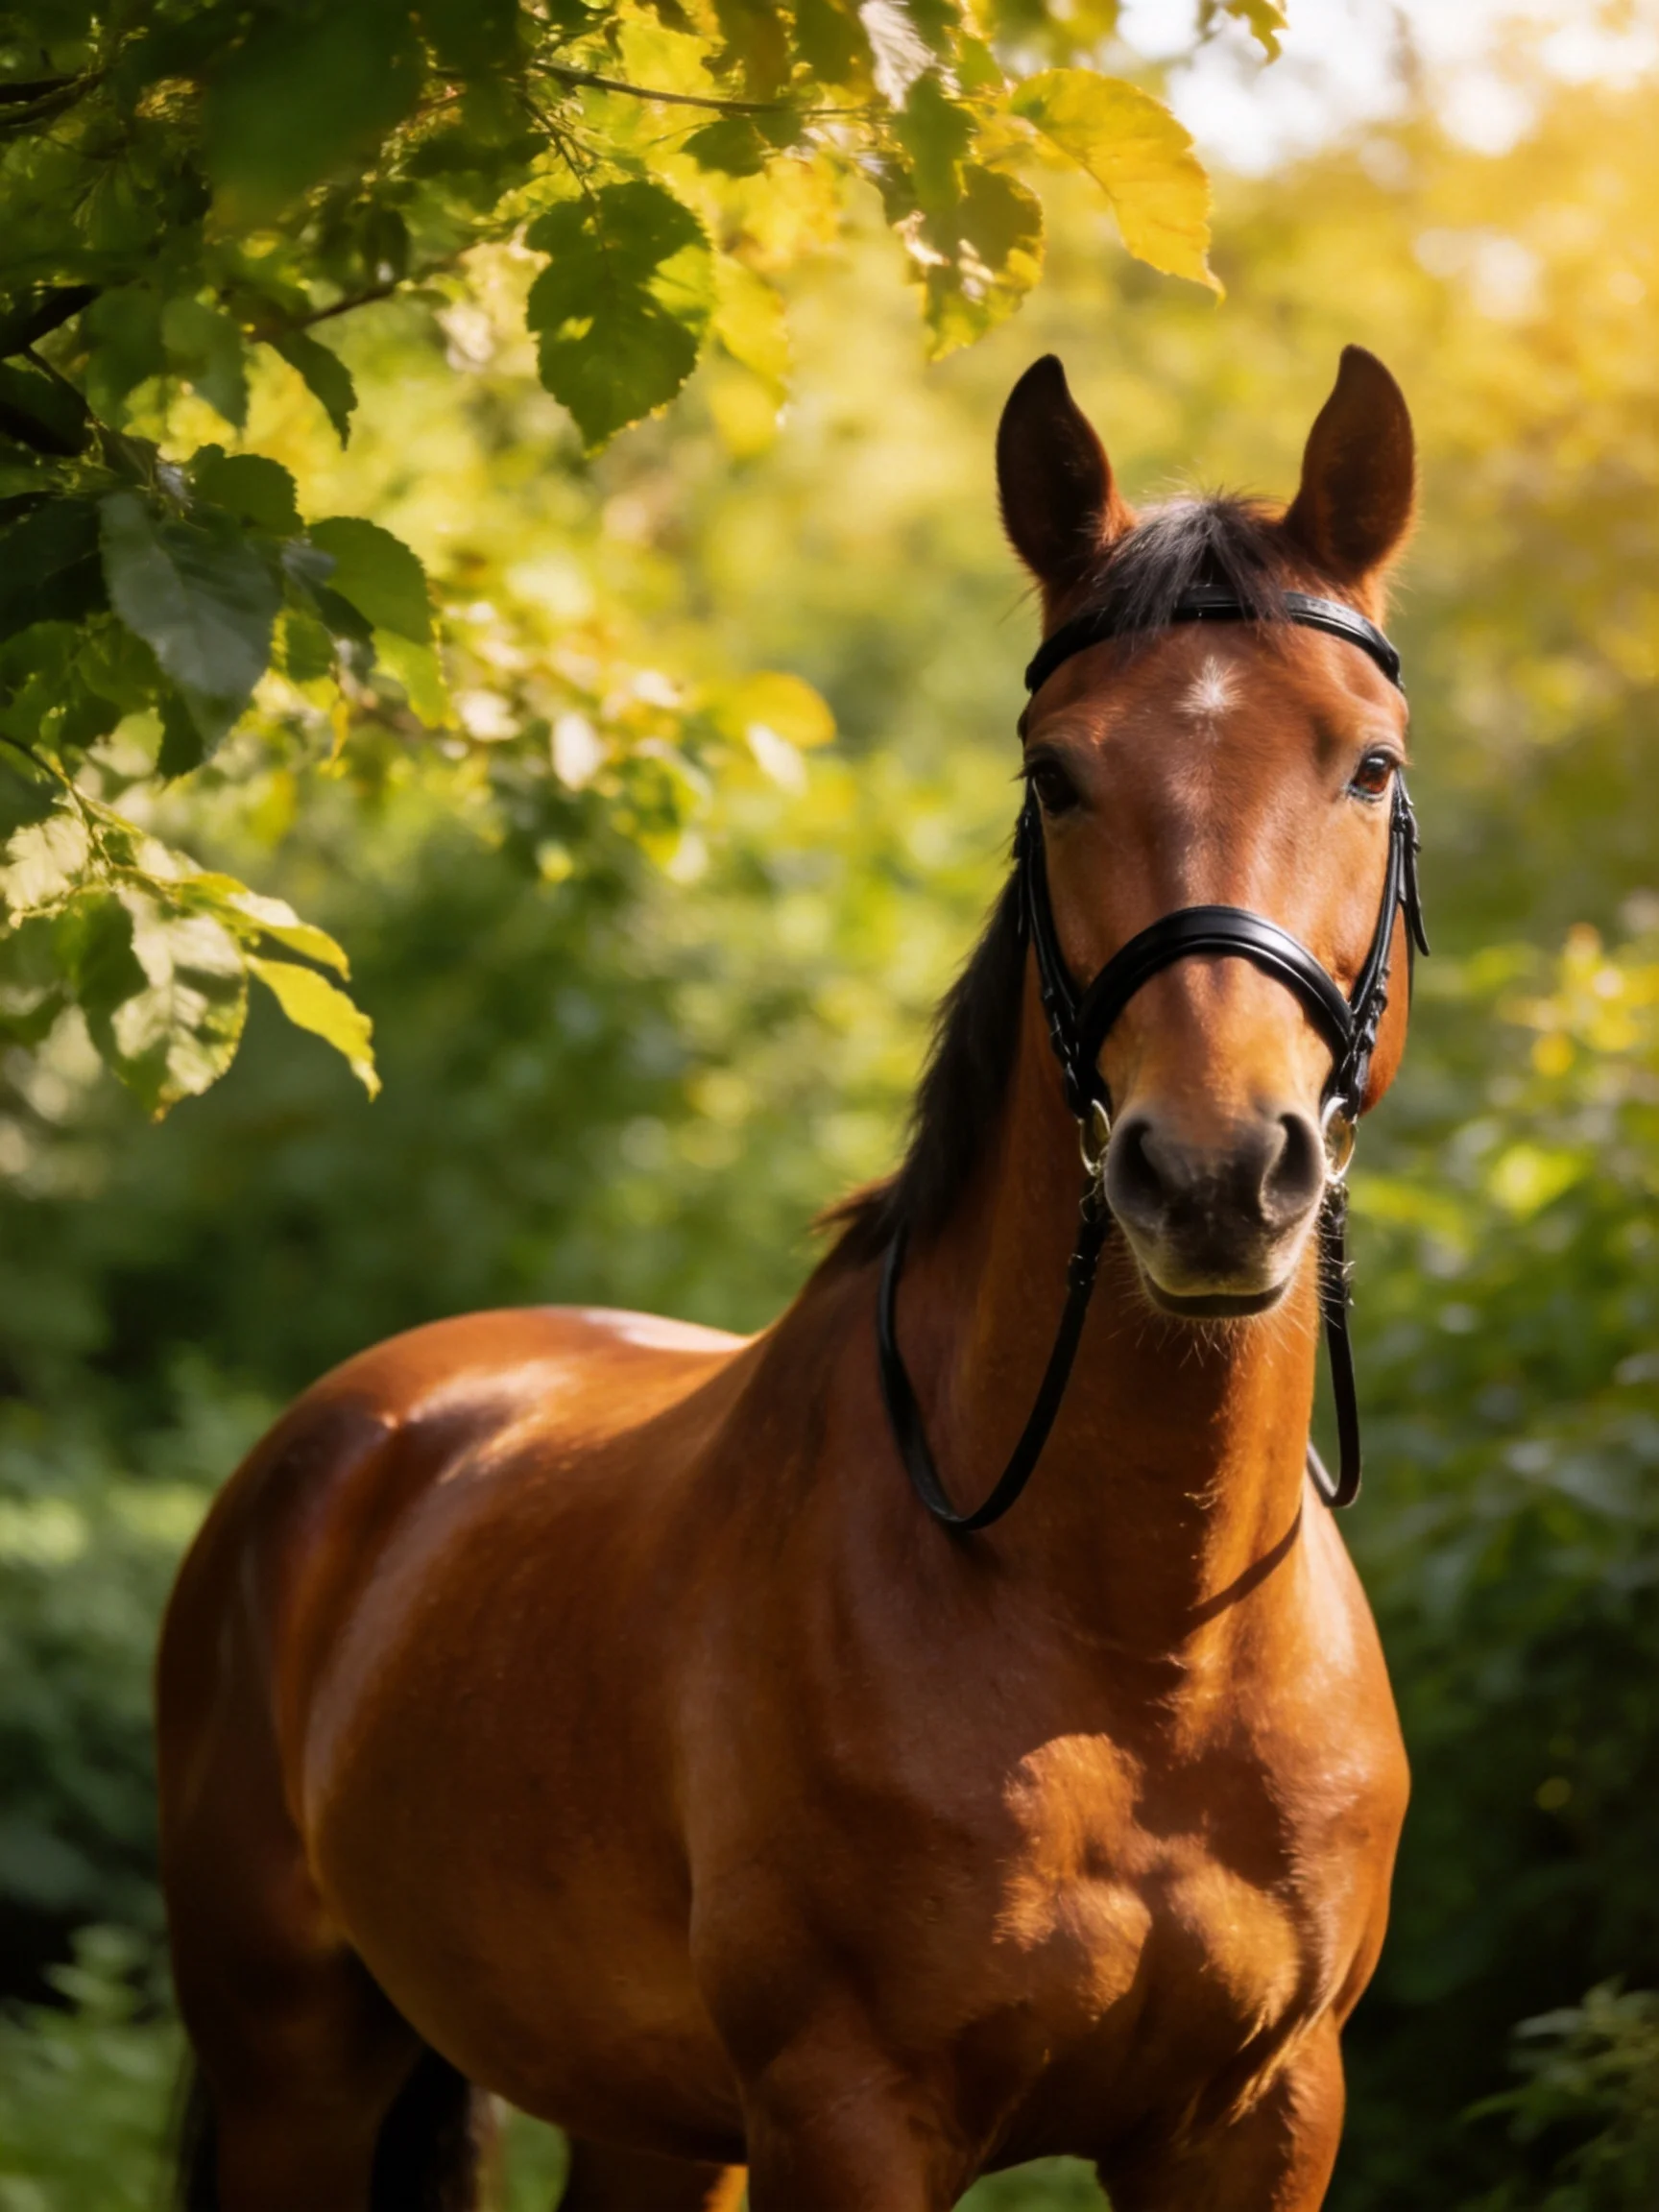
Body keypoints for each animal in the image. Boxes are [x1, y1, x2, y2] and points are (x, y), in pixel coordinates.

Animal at [158, 343, 1420, 2211]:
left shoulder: (1262, 2119)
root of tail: (339, 1436)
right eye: (1054, 774)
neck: (1140, 1638)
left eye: (1367, 769)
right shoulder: (847, 2110)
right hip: (290, 2076)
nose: (1206, 1174)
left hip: (642, 2116)